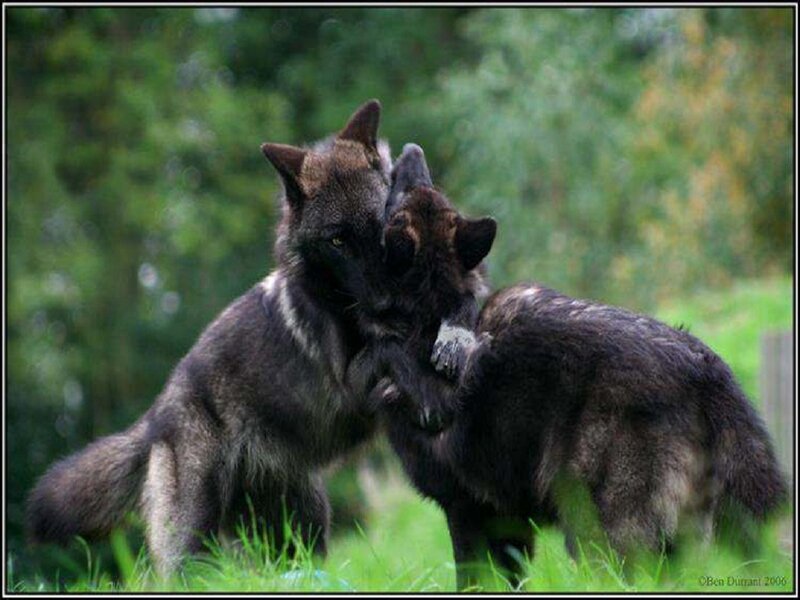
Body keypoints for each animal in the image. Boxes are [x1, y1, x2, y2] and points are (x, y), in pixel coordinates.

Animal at [27, 100, 397, 576]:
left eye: (381, 220)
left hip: (304, 527)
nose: (387, 299)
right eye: (337, 241)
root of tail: (153, 421)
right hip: (194, 534)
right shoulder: (351, 382)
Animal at [358, 146, 788, 589]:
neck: (427, 326)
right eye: (419, 187)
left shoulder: (469, 512)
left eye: (401, 193)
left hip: (602, 540)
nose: (412, 150)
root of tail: (706, 374)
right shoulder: (509, 523)